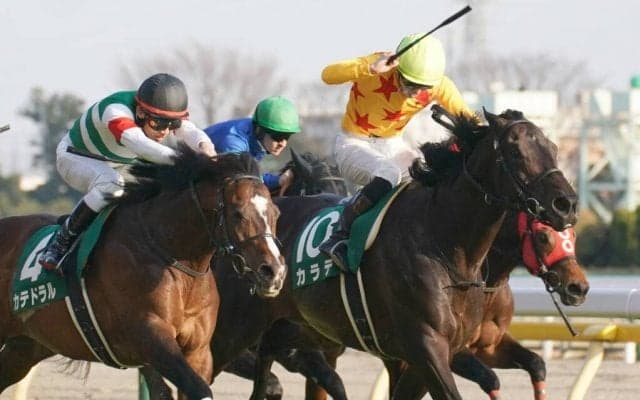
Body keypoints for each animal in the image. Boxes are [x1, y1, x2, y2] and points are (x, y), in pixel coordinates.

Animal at [0, 148, 285, 400]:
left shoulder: (199, 350)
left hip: (26, 346)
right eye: (237, 214)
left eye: (276, 213)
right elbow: (198, 389)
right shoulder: (151, 337)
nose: (274, 271)